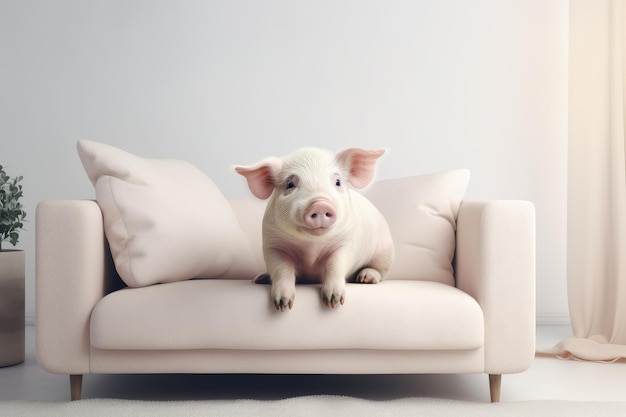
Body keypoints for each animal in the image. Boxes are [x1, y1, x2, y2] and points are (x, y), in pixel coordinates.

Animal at [236, 148, 392, 310]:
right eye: (290, 184)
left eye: (337, 182)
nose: (320, 204)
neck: (311, 245)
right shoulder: (272, 244)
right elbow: (282, 269)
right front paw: (283, 305)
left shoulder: (347, 243)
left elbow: (335, 264)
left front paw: (333, 302)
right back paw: (260, 279)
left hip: (385, 252)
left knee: (380, 271)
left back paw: (365, 278)